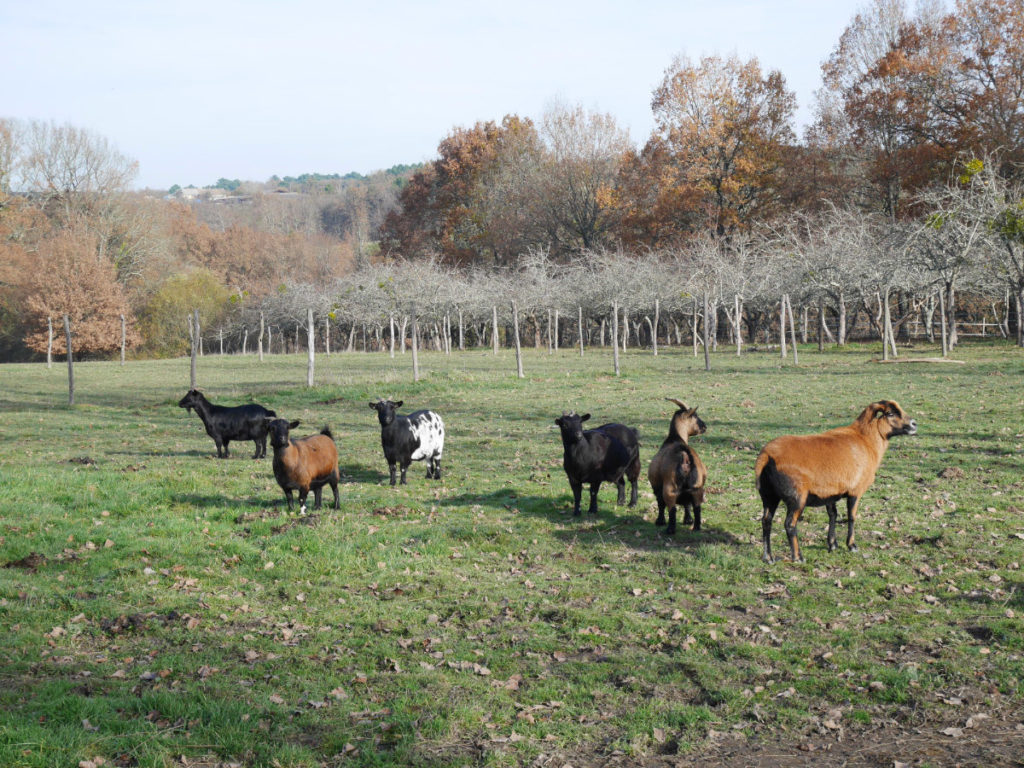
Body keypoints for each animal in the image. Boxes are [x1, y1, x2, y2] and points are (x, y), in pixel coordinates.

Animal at [647, 399, 708, 534]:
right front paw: (688, 520)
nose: (704, 427)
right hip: (697, 489)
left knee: (672, 508)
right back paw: (696, 527)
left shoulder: (657, 486)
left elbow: (660, 504)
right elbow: (687, 504)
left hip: (670, 489)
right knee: (697, 507)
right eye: (695, 415)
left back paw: (670, 529)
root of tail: (685, 455)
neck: (675, 438)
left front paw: (660, 521)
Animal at [756, 400, 917, 563]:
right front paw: (851, 545)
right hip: (796, 497)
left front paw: (832, 544)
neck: (866, 440)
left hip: (768, 495)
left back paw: (768, 557)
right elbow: (851, 517)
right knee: (789, 524)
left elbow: (833, 514)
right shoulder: (855, 490)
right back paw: (797, 557)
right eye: (890, 413)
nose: (914, 424)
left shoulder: (829, 493)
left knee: (766, 521)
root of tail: (767, 455)